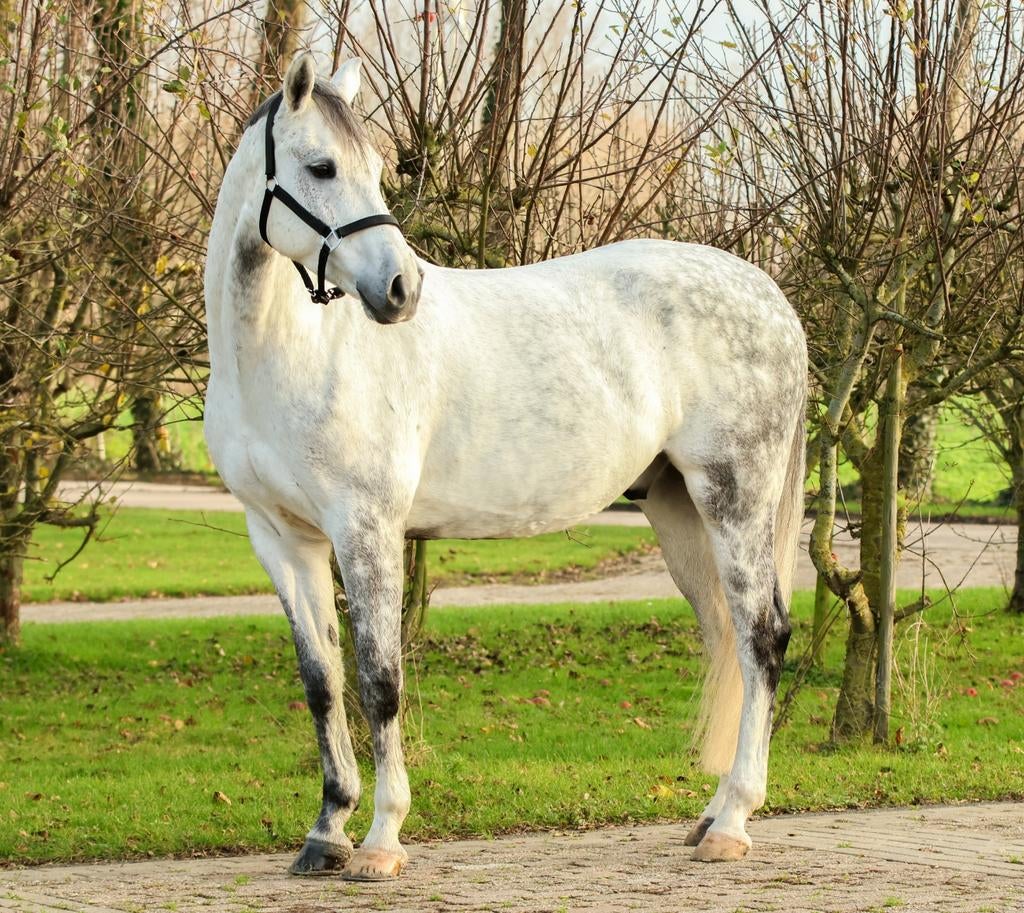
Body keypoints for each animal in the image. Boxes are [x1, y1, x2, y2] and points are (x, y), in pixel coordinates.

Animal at [203, 51, 807, 881]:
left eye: (377, 168)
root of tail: (770, 298)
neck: (289, 355)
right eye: (320, 166)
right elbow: (323, 683)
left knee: (763, 639)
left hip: (735, 497)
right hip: (680, 510)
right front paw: (326, 831)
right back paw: (714, 812)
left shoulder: (366, 528)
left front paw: (381, 839)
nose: (402, 289)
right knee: (731, 640)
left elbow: (380, 681)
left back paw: (735, 821)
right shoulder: (282, 537)